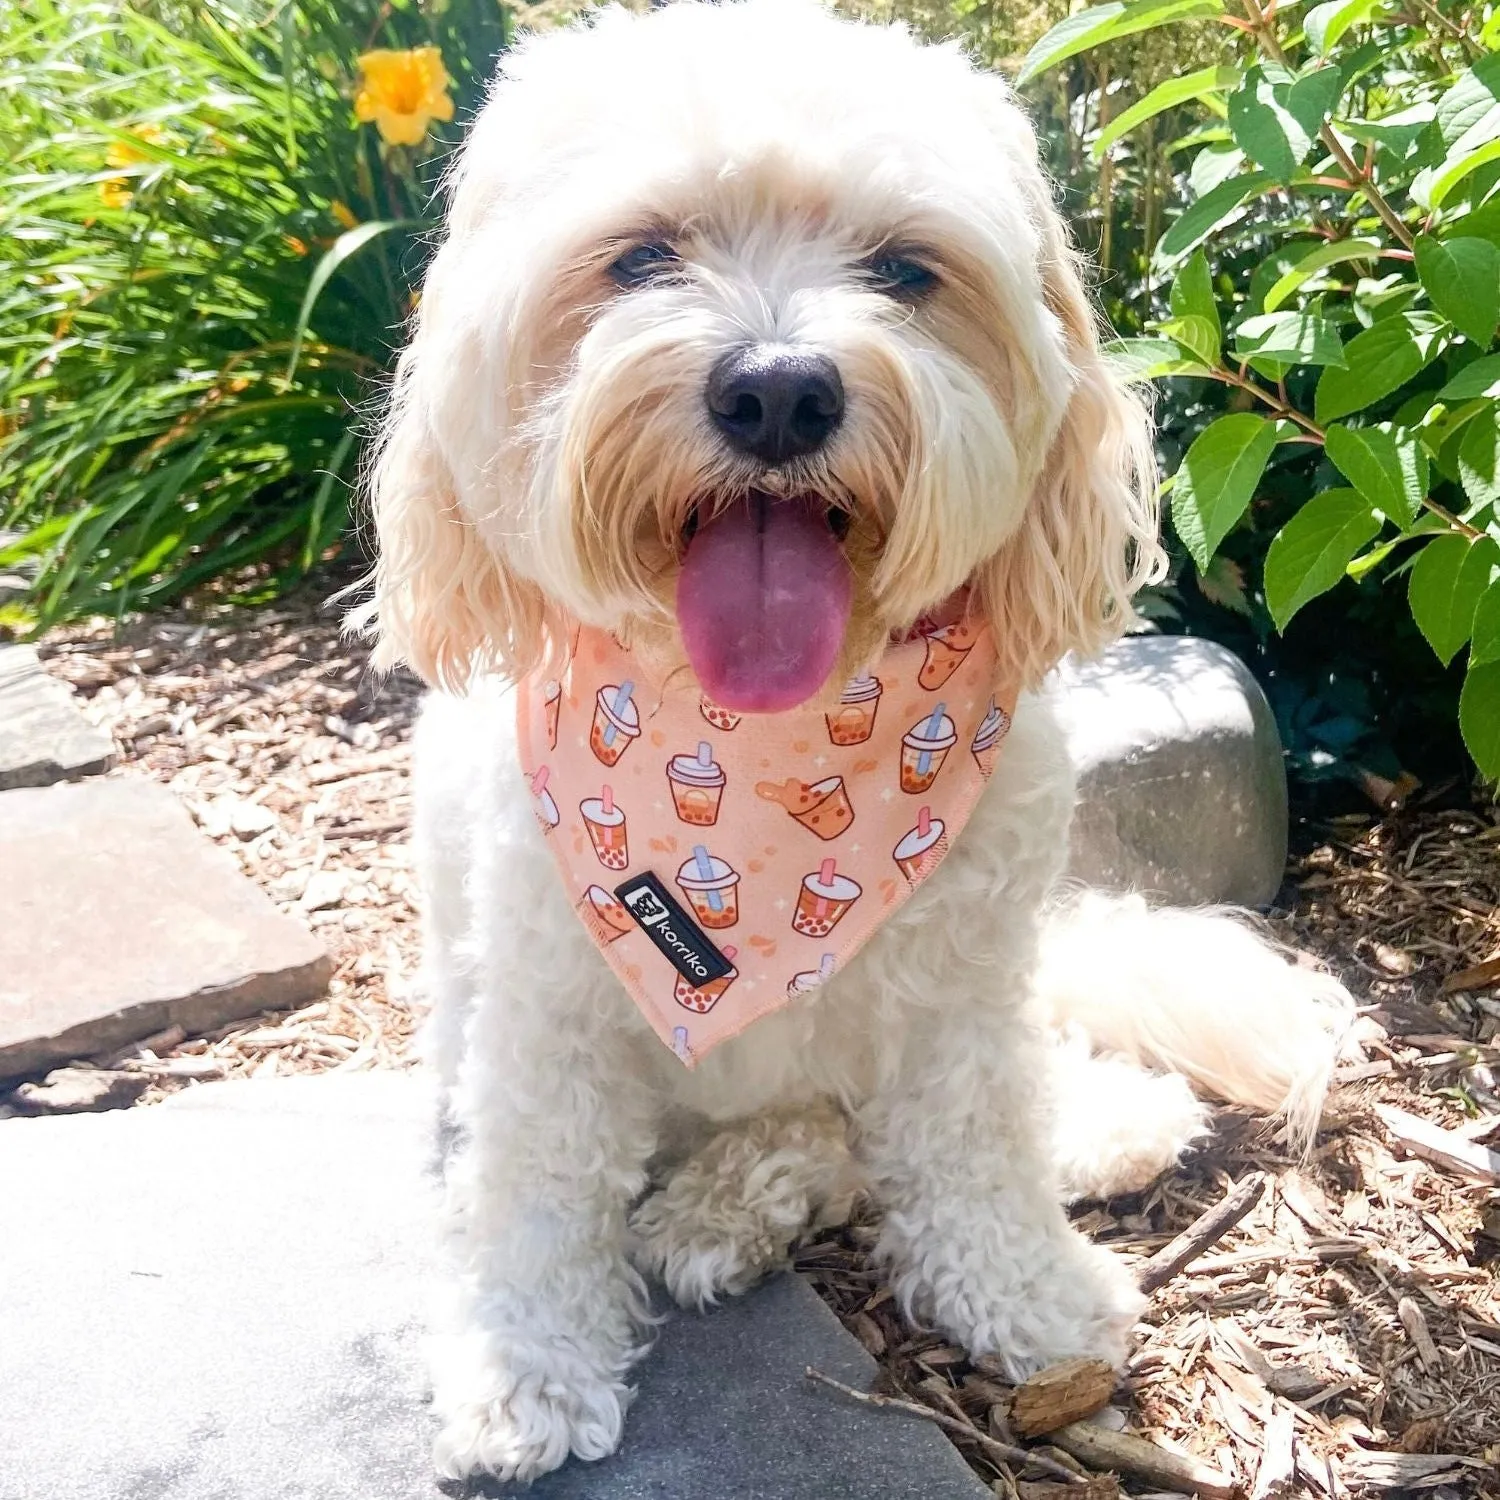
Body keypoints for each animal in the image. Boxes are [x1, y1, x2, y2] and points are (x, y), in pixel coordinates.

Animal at [354, 0, 1362, 1476]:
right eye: (642, 255)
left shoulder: (965, 986)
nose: (778, 392)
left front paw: (1028, 1292)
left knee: (960, 1105)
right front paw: (523, 1366)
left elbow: (980, 1139)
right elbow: (537, 1187)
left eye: (904, 269)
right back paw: (724, 1203)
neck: (765, 755)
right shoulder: (549, 998)